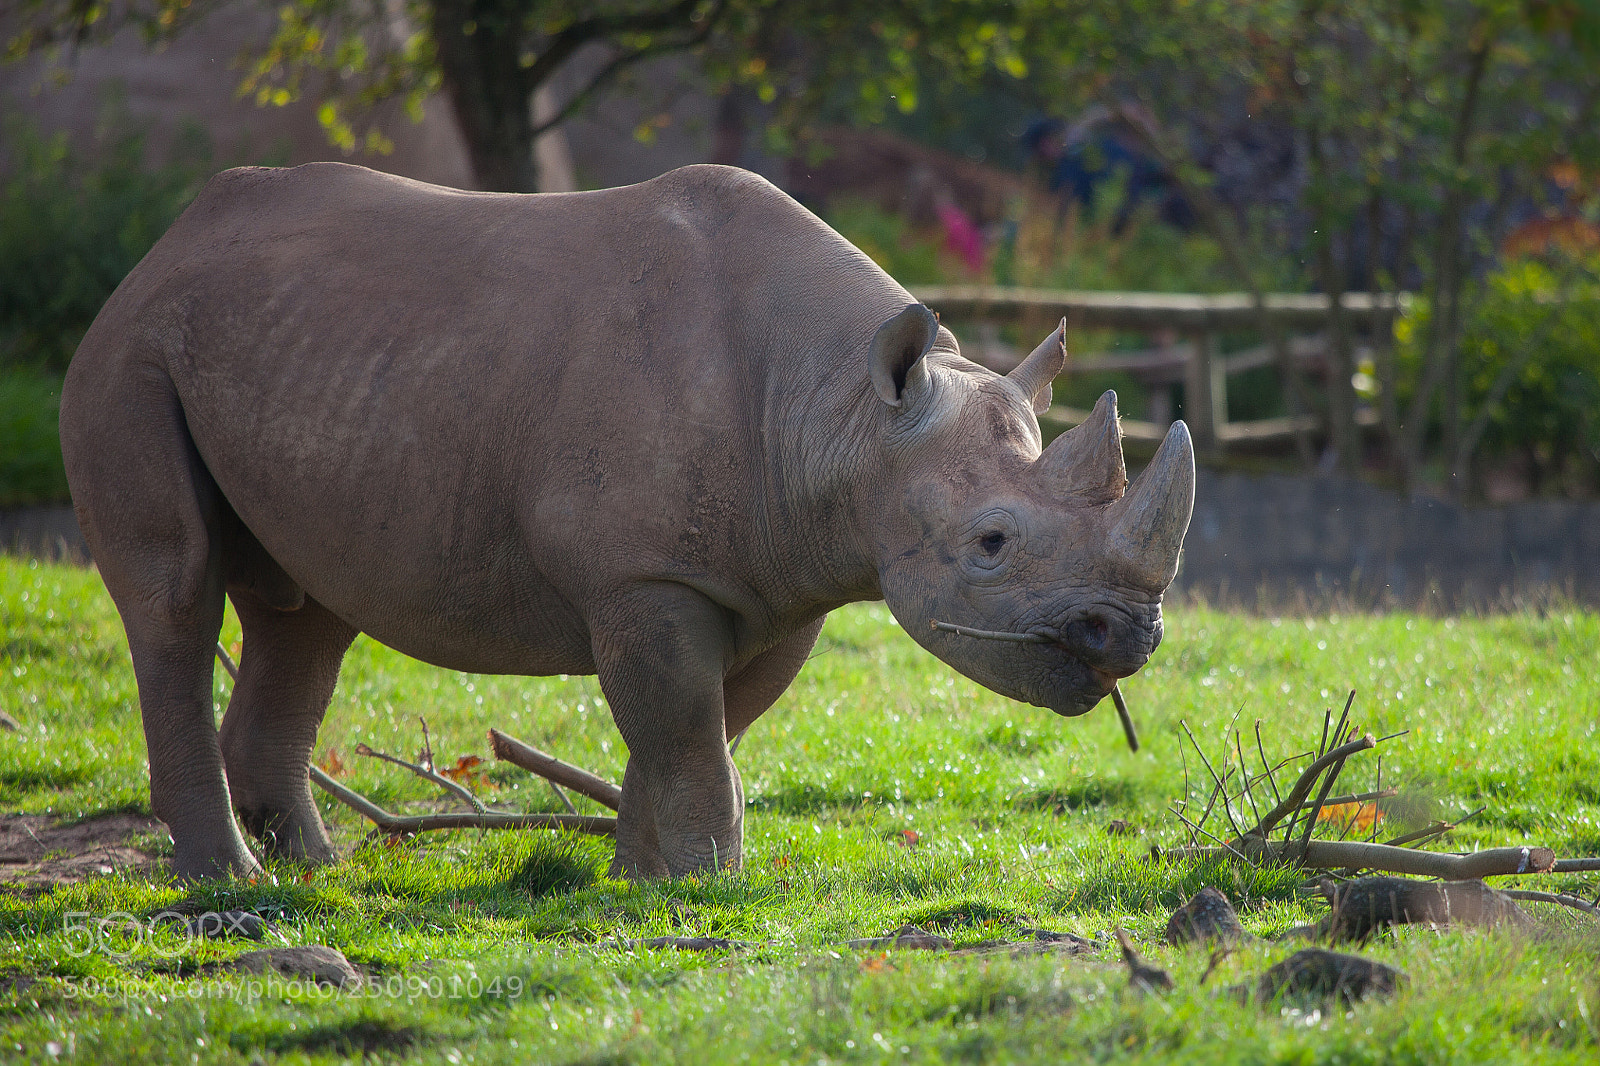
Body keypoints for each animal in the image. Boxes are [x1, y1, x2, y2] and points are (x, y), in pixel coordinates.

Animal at [60, 163, 1193, 881]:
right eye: (992, 545)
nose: (1131, 635)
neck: (844, 416)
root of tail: (163, 247)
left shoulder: (779, 582)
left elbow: (700, 727)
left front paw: (640, 879)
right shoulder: (646, 575)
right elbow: (685, 727)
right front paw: (706, 887)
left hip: (285, 352)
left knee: (308, 612)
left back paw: (314, 868)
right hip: (132, 353)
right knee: (177, 594)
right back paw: (233, 888)